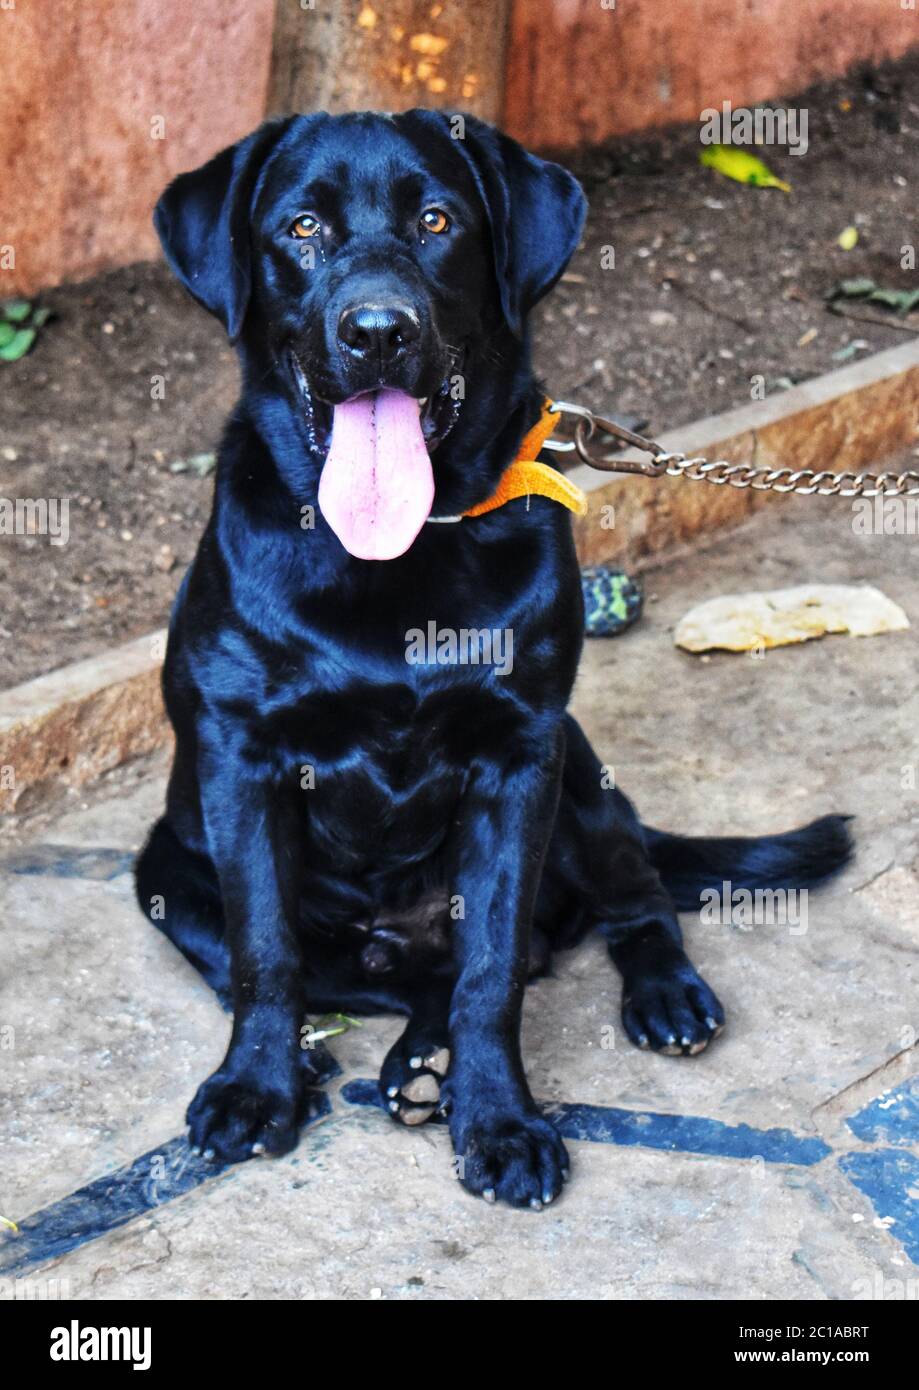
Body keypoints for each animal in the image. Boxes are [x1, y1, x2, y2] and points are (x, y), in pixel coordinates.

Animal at [134, 111, 845, 1206]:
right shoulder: (239, 758)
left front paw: (501, 1120)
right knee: (363, 973)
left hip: (583, 777)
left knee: (626, 900)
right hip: (167, 867)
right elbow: (265, 950)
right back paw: (385, 1058)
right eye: (301, 226)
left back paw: (654, 998)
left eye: (436, 220)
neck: (395, 555)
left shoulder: (520, 758)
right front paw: (255, 1087)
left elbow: (494, 963)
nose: (377, 330)